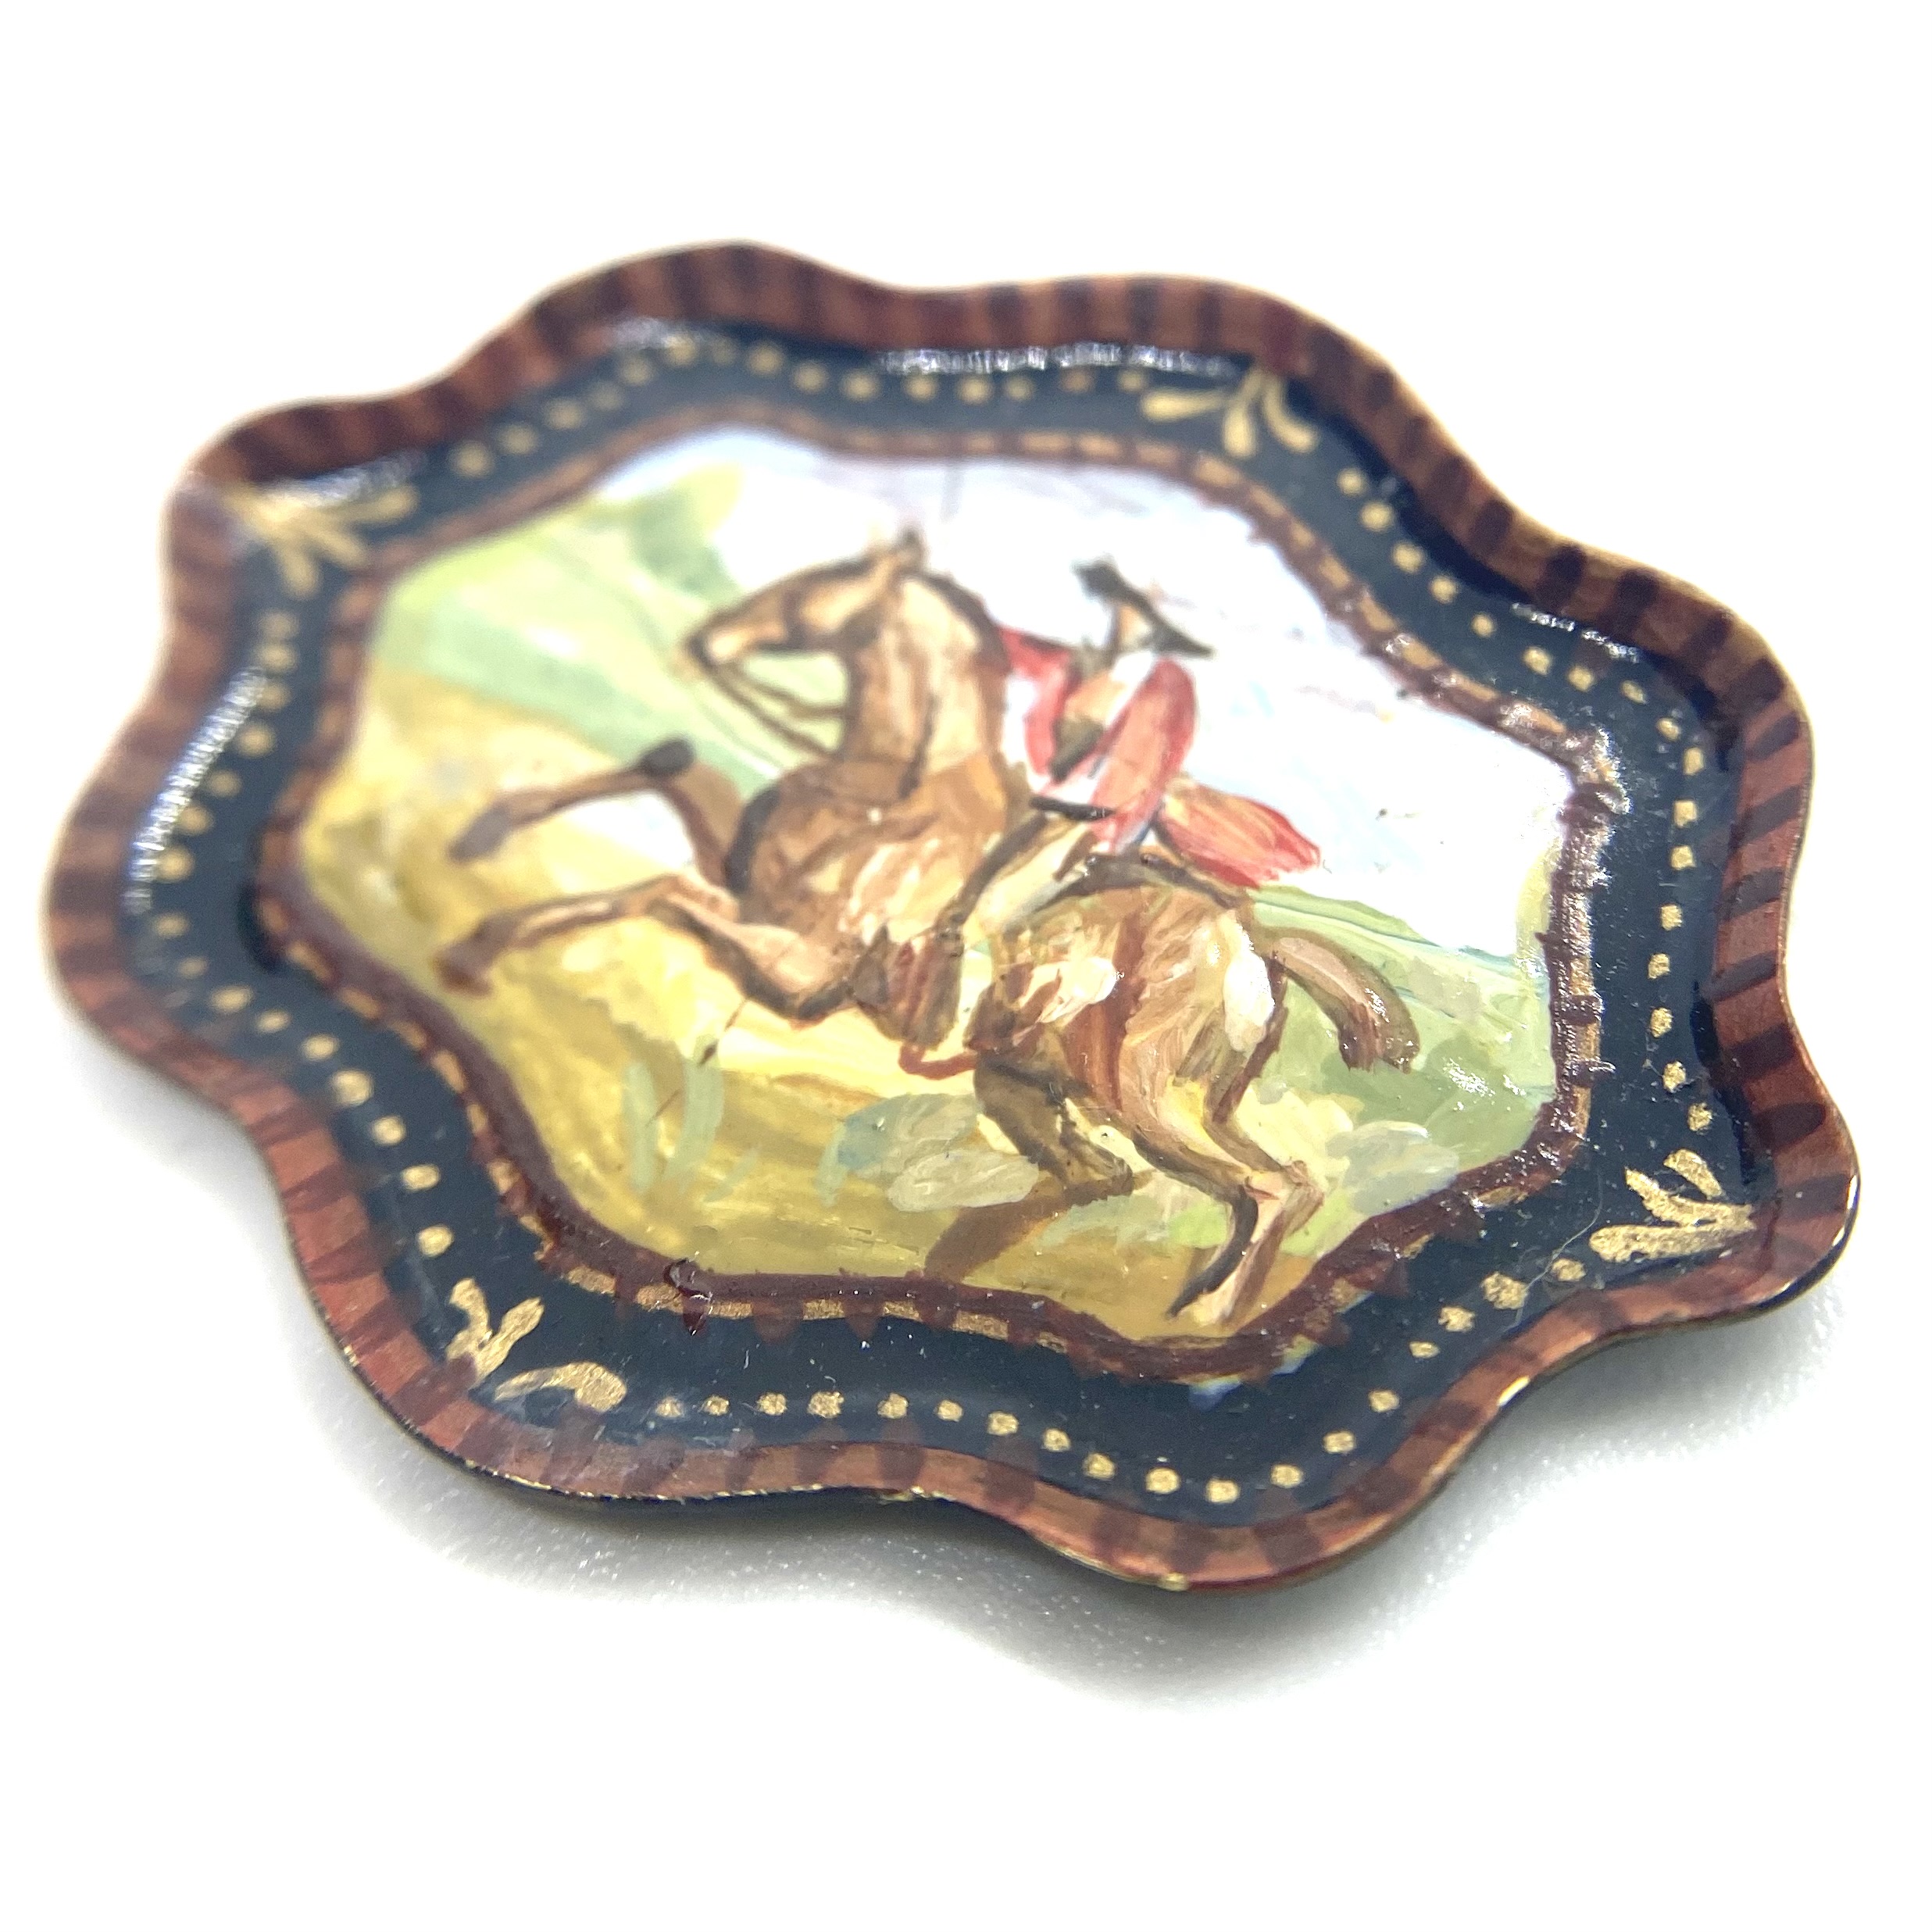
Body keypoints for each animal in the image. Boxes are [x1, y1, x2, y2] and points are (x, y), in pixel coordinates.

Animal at [435, 533, 1417, 1326]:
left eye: (823, 579)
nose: (710, 639)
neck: (890, 786)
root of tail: (1250, 944)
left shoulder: (801, 970)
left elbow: (657, 887)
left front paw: (482, 945)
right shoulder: (750, 889)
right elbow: (665, 769)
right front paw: (487, 838)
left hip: (1141, 1094)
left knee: (1267, 1187)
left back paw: (1204, 1311)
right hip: (1043, 1085)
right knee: (1120, 1177)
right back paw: (948, 1273)